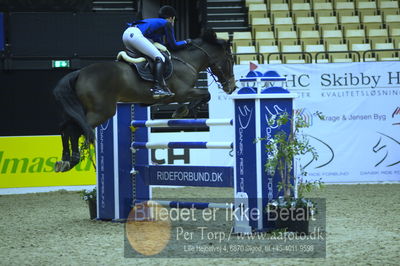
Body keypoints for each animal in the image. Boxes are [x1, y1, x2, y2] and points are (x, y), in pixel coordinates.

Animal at [51, 29, 236, 172]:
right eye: (229, 60)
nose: (232, 87)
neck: (186, 60)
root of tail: (80, 73)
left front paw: (182, 111)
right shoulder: (182, 93)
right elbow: (206, 95)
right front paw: (183, 111)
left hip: (84, 109)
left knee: (65, 128)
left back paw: (65, 160)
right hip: (102, 112)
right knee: (74, 129)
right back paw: (72, 160)